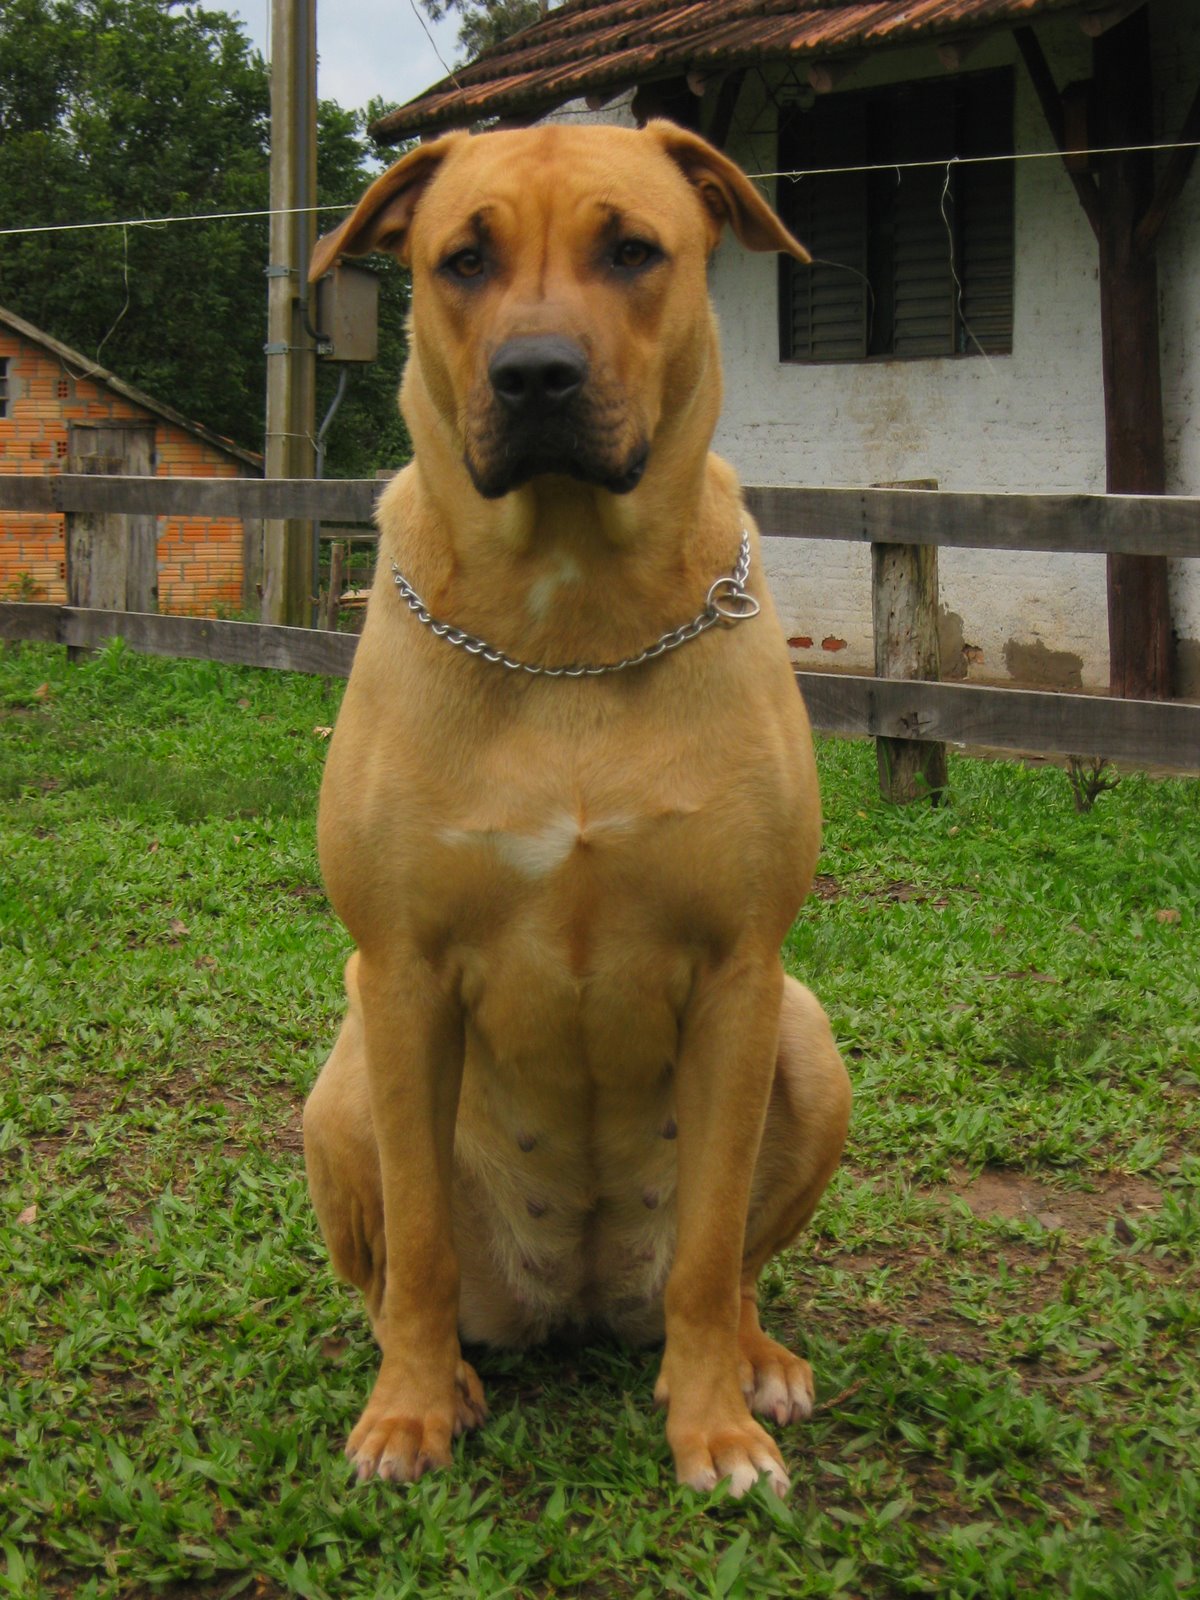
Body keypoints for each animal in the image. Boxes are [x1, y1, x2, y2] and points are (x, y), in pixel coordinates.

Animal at [302, 118, 857, 1491]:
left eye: (633, 250)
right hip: (339, 1085)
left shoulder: (742, 972)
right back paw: (442, 1372)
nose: (536, 376)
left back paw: (754, 1361)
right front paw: (406, 1413)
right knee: (397, 1275)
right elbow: (422, 1246)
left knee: (727, 1267)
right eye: (462, 259)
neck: (568, 624)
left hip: (809, 1041)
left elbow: (710, 1248)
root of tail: (577, 1302)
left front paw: (712, 1425)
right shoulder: (400, 972)